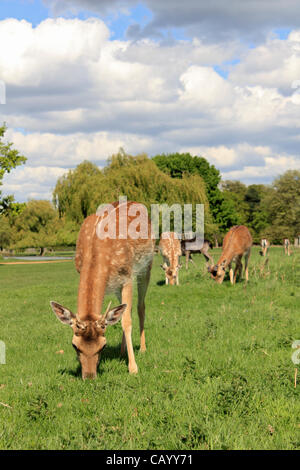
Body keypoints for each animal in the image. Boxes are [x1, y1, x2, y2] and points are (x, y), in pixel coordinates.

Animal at [50, 200, 154, 380]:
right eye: (74, 346)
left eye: (103, 346)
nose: (89, 377)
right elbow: (121, 315)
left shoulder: (127, 275)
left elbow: (127, 321)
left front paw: (133, 368)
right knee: (125, 309)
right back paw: (122, 351)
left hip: (146, 266)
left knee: (140, 306)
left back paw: (142, 348)